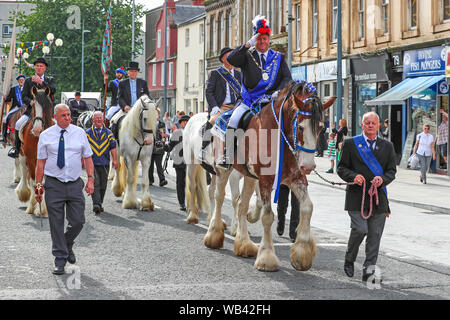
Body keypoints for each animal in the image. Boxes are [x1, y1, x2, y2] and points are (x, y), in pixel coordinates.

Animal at [15, 87, 54, 218]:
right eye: (33, 107)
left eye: (47, 106)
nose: (36, 129)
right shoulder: (31, 159)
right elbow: (33, 182)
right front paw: (33, 207)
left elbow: (43, 183)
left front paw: (43, 209)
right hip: (23, 158)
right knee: (23, 173)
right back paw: (23, 193)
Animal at [202, 81, 336, 272]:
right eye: (300, 127)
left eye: (321, 127)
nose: (309, 166)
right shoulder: (265, 180)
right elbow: (267, 216)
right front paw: (266, 257)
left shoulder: (295, 178)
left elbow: (307, 207)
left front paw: (302, 252)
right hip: (223, 171)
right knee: (219, 197)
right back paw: (214, 234)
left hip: (249, 176)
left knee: (241, 204)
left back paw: (244, 244)